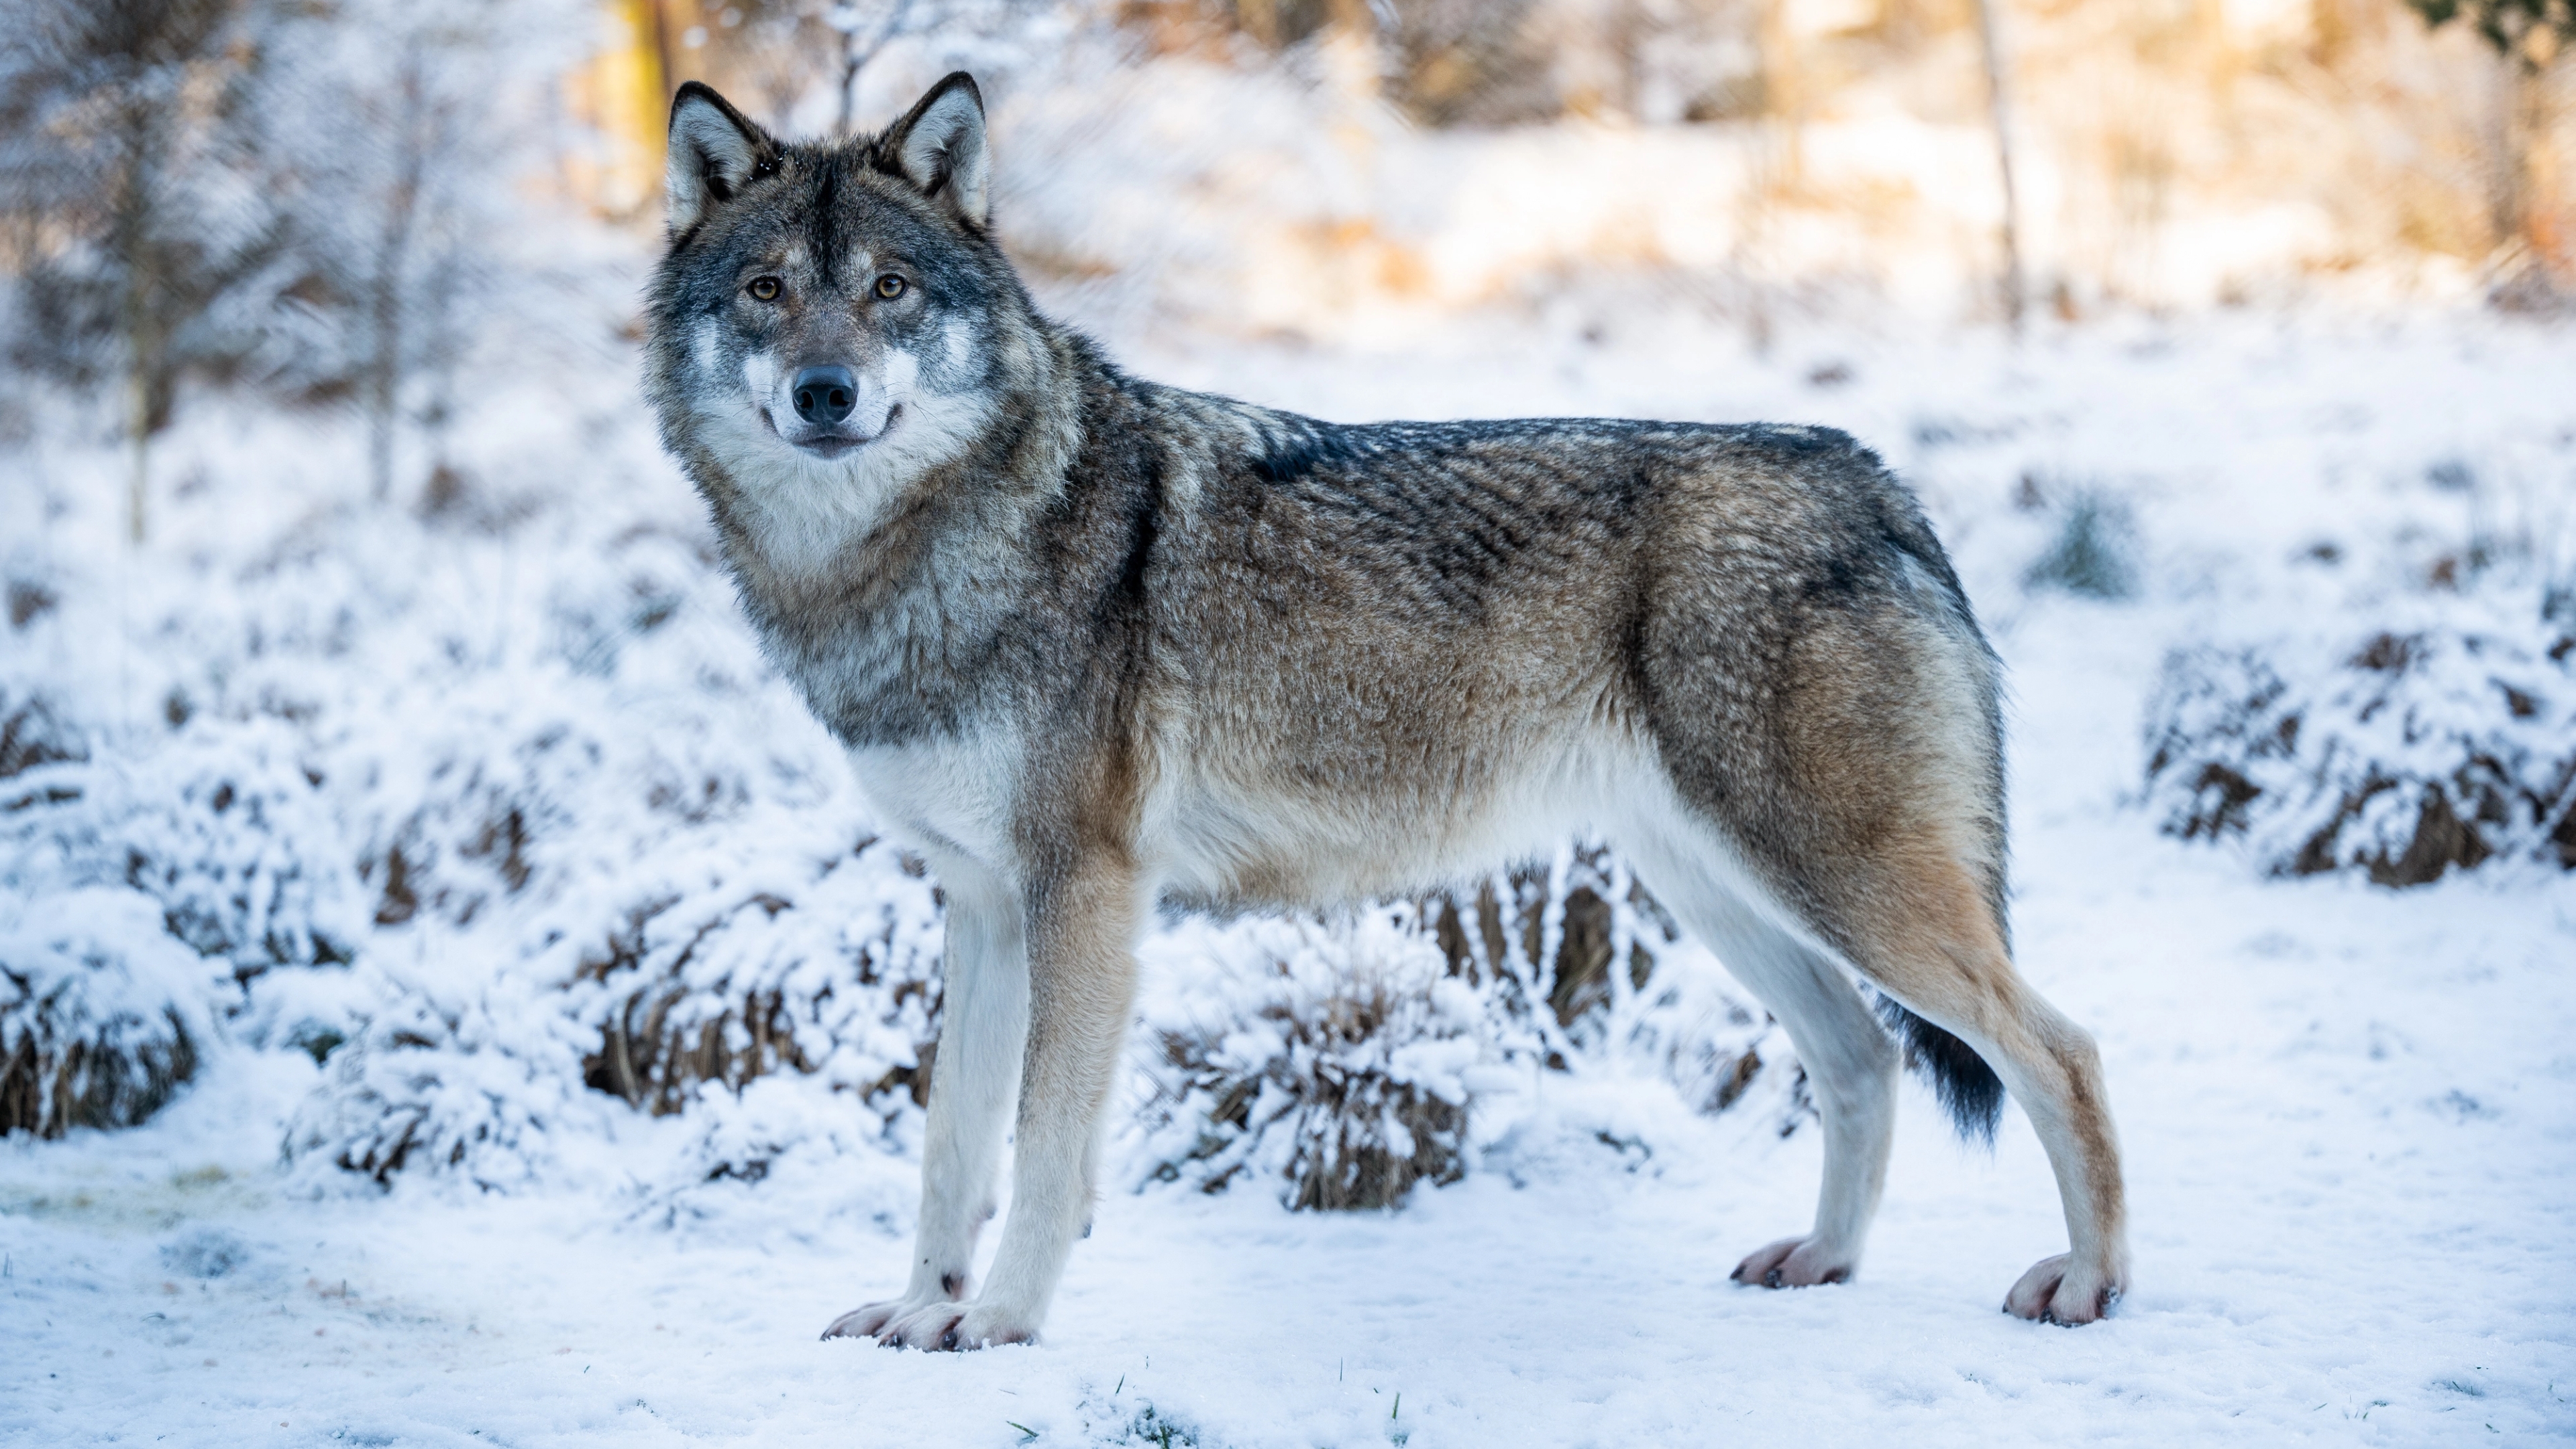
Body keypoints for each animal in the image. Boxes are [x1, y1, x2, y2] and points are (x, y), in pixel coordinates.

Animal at [644, 73, 2130, 1350]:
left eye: (888, 291)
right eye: (768, 292)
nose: (824, 394)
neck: (917, 555)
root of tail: (1870, 474)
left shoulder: (1086, 893)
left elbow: (1044, 1142)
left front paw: (998, 1322)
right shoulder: (979, 901)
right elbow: (950, 1143)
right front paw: (917, 1310)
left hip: (1831, 882)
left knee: (2061, 1048)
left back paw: (2089, 1284)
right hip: (1721, 889)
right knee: (1866, 1059)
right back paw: (1824, 1262)